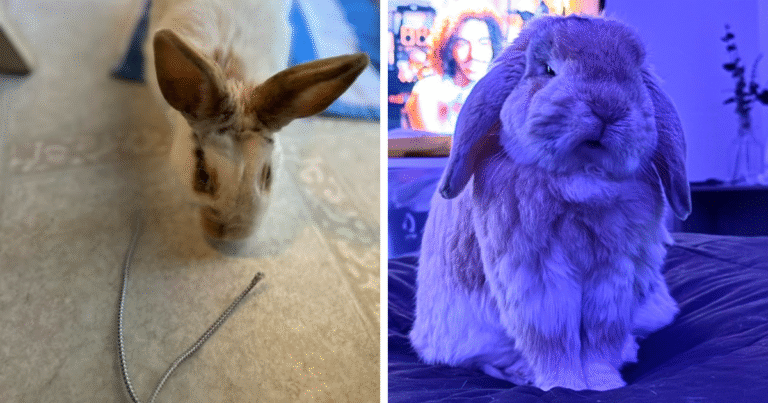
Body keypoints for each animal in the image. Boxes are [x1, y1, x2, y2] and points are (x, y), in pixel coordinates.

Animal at [409, 15, 691, 392]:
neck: (583, 177)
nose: (608, 108)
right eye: (548, 69)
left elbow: (601, 340)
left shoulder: (616, 277)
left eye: (634, 75)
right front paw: (566, 386)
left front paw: (605, 385)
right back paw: (523, 374)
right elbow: (552, 340)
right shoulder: (537, 278)